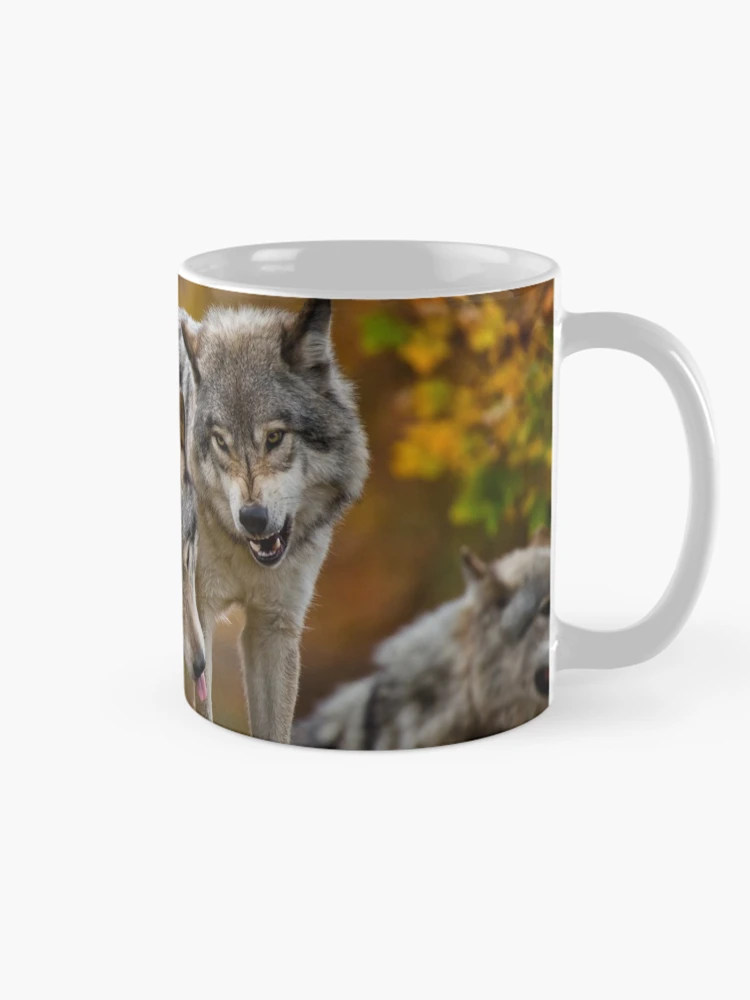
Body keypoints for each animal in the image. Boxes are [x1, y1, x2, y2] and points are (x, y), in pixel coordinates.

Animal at [179, 300, 369, 742]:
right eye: (221, 441)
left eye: (275, 437)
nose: (252, 518)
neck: (234, 545)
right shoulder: (200, 617)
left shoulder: (273, 626)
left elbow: (274, 730)